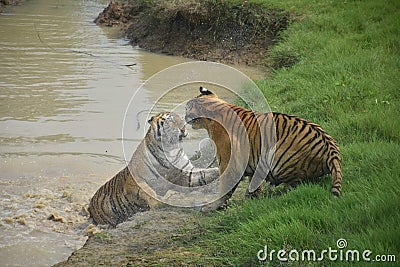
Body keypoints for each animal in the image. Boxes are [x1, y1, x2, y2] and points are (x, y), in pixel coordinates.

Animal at [88, 112, 219, 227]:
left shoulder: (185, 174)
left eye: (181, 119)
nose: (183, 129)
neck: (171, 149)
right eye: (170, 120)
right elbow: (149, 193)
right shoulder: (137, 181)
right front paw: (162, 200)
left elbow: (206, 173)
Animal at [186, 87, 342, 211]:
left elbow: (226, 186)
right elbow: (253, 181)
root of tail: (332, 151)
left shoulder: (229, 162)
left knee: (300, 184)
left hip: (279, 159)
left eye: (187, 108)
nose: (184, 116)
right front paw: (252, 197)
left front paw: (211, 207)